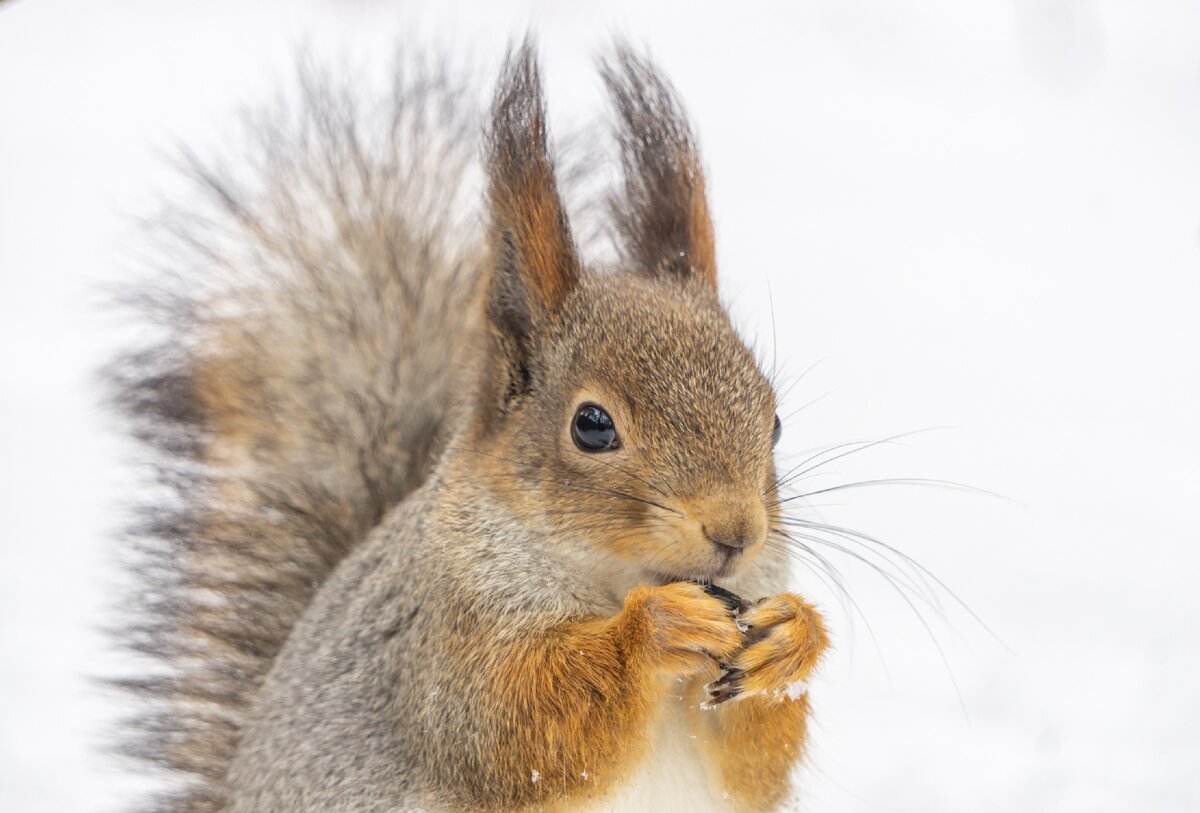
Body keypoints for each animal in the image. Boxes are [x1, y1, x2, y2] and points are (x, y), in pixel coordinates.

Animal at [110, 39, 825, 813]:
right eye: (592, 425)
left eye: (774, 422)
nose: (736, 533)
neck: (612, 579)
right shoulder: (446, 640)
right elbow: (518, 724)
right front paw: (654, 629)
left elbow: (756, 759)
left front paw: (793, 637)